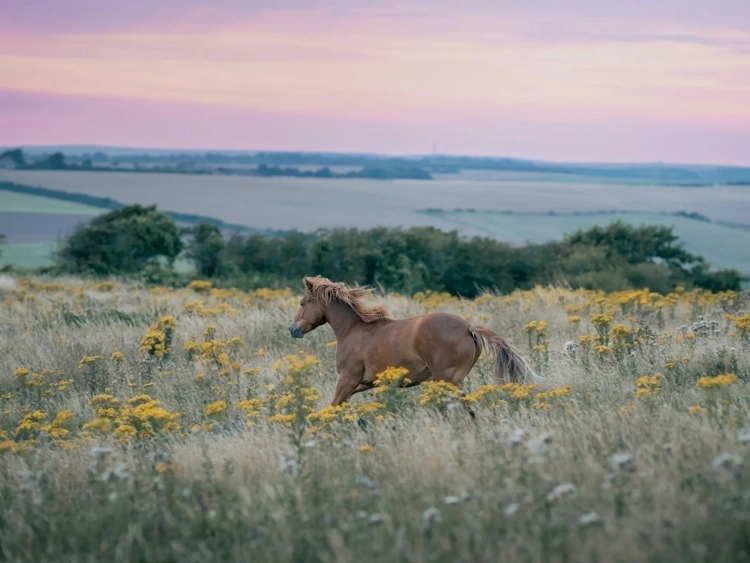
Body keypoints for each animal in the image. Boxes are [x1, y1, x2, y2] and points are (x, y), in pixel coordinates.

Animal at [288, 276, 538, 406]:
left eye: (302, 303)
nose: (292, 329)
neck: (353, 329)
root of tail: (469, 328)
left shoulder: (347, 379)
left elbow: (334, 405)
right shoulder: (363, 383)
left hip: (448, 379)